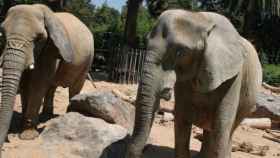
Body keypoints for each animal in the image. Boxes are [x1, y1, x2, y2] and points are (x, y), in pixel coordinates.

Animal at [0, 3, 94, 151]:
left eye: (39, 38)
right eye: (2, 34)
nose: (5, 142)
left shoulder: (50, 49)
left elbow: (38, 84)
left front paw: (27, 136)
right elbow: (24, 84)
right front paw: (21, 126)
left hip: (87, 61)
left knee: (75, 87)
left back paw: (71, 114)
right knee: (52, 87)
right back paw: (47, 115)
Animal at [127, 9, 262, 158]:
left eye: (180, 52)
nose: (145, 149)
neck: (200, 18)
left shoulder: (233, 76)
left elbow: (222, 124)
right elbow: (181, 118)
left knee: (227, 129)